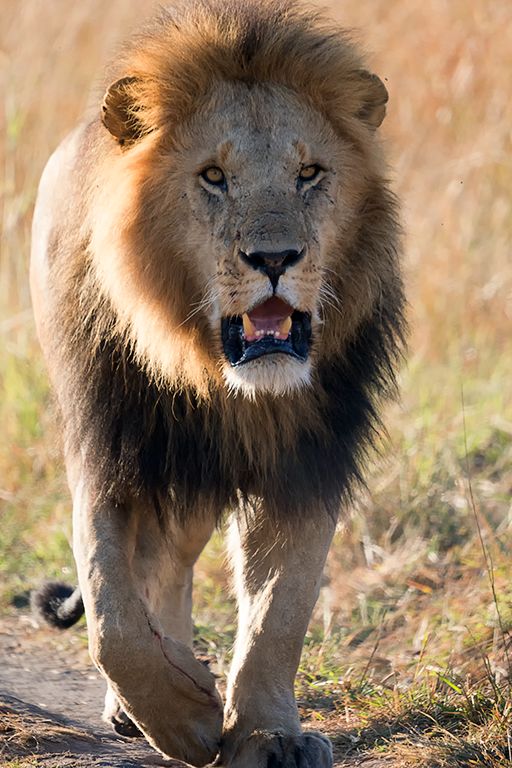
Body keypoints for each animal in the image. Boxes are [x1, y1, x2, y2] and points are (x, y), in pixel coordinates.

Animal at [30, 1, 406, 765]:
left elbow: (280, 612)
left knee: (171, 562)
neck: (220, 383)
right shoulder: (108, 448)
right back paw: (139, 704)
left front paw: (266, 733)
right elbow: (112, 614)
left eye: (310, 173)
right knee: (147, 574)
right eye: (213, 176)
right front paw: (186, 721)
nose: (276, 257)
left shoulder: (308, 458)